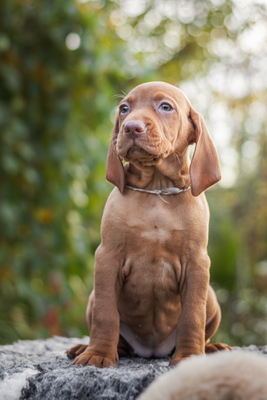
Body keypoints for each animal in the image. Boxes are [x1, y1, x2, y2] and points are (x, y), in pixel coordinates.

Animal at [66, 82, 231, 368]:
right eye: (124, 108)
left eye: (165, 107)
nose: (131, 127)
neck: (156, 189)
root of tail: (152, 351)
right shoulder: (107, 257)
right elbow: (105, 314)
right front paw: (98, 354)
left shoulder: (197, 262)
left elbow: (192, 316)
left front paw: (190, 356)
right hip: (92, 296)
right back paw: (88, 347)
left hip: (211, 296)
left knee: (203, 327)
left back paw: (212, 348)